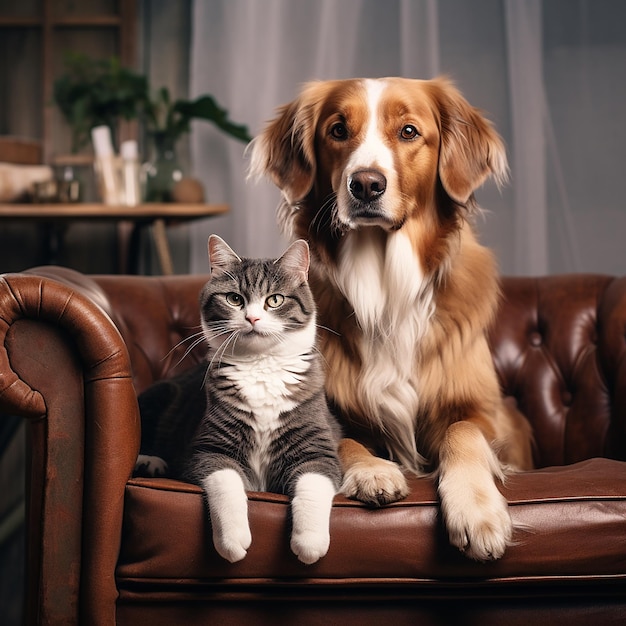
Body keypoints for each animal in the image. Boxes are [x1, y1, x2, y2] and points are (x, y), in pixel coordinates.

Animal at [182, 235, 342, 564]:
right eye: (234, 299)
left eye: (275, 300)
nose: (252, 317)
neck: (260, 366)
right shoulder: (209, 447)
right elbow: (225, 480)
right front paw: (232, 540)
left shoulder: (318, 445)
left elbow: (315, 480)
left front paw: (309, 542)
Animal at [249, 75, 532, 560]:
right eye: (338, 130)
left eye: (409, 132)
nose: (365, 184)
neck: (385, 287)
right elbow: (342, 438)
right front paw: (373, 470)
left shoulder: (479, 411)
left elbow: (463, 433)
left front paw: (477, 510)